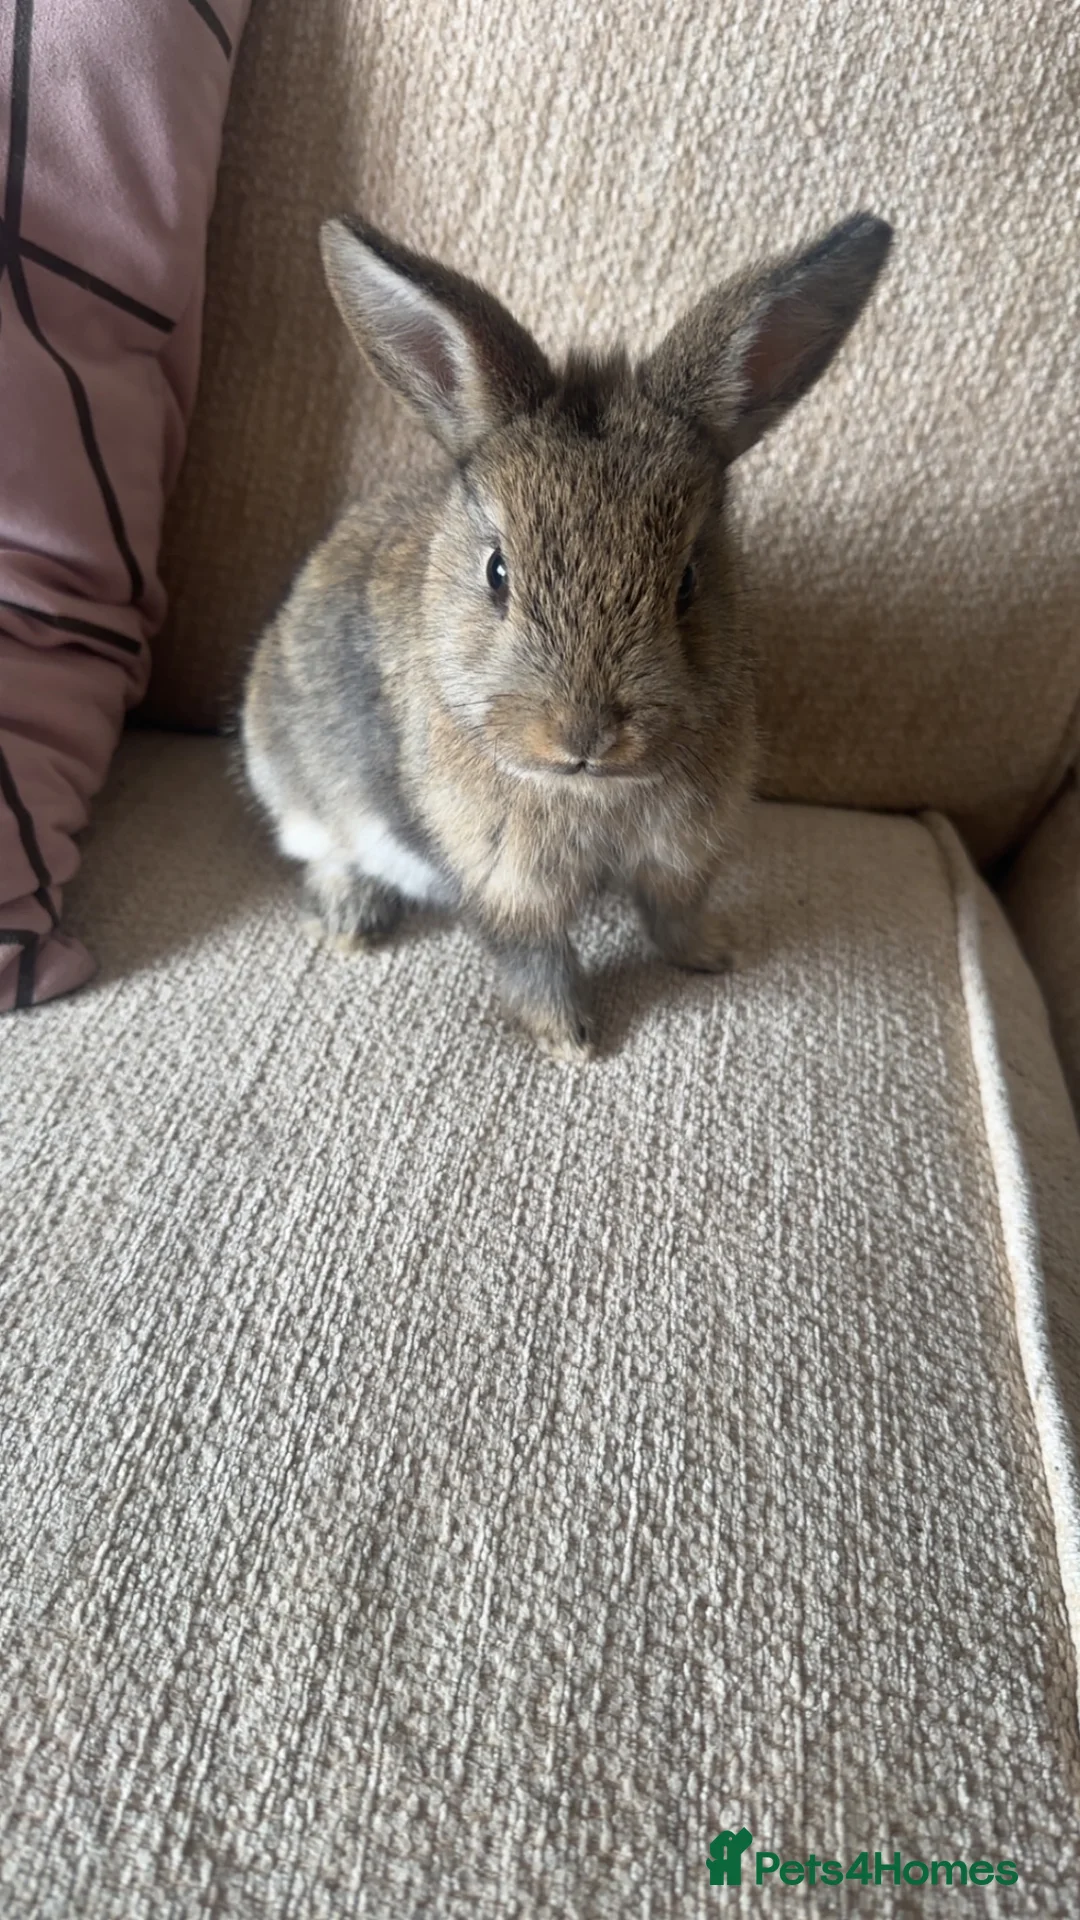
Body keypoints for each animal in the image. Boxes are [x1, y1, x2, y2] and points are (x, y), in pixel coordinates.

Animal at [243, 210, 892, 1060]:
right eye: (497, 572)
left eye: (686, 581)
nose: (585, 735)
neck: (593, 792)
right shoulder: (508, 881)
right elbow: (534, 957)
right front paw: (569, 1040)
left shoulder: (680, 856)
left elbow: (673, 914)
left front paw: (713, 956)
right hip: (290, 774)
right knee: (320, 847)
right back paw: (354, 918)